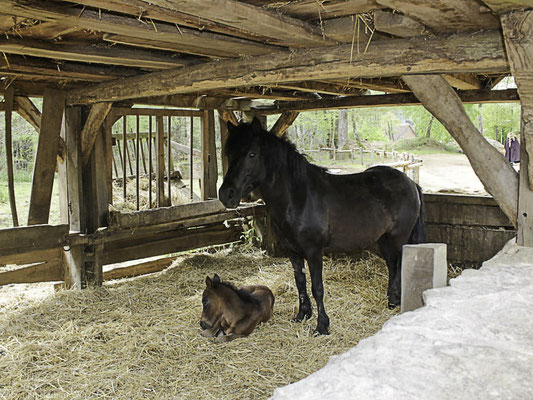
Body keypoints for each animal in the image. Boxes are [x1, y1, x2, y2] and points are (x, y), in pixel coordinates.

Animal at [217, 118, 424, 334]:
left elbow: (317, 288)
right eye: (229, 154)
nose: (226, 194)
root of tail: (411, 183)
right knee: (392, 264)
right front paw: (302, 315)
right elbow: (300, 283)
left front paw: (322, 325)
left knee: (399, 263)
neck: (298, 197)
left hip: (399, 238)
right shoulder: (293, 252)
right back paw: (392, 300)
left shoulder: (314, 252)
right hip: (384, 238)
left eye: (252, 154)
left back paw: (395, 300)